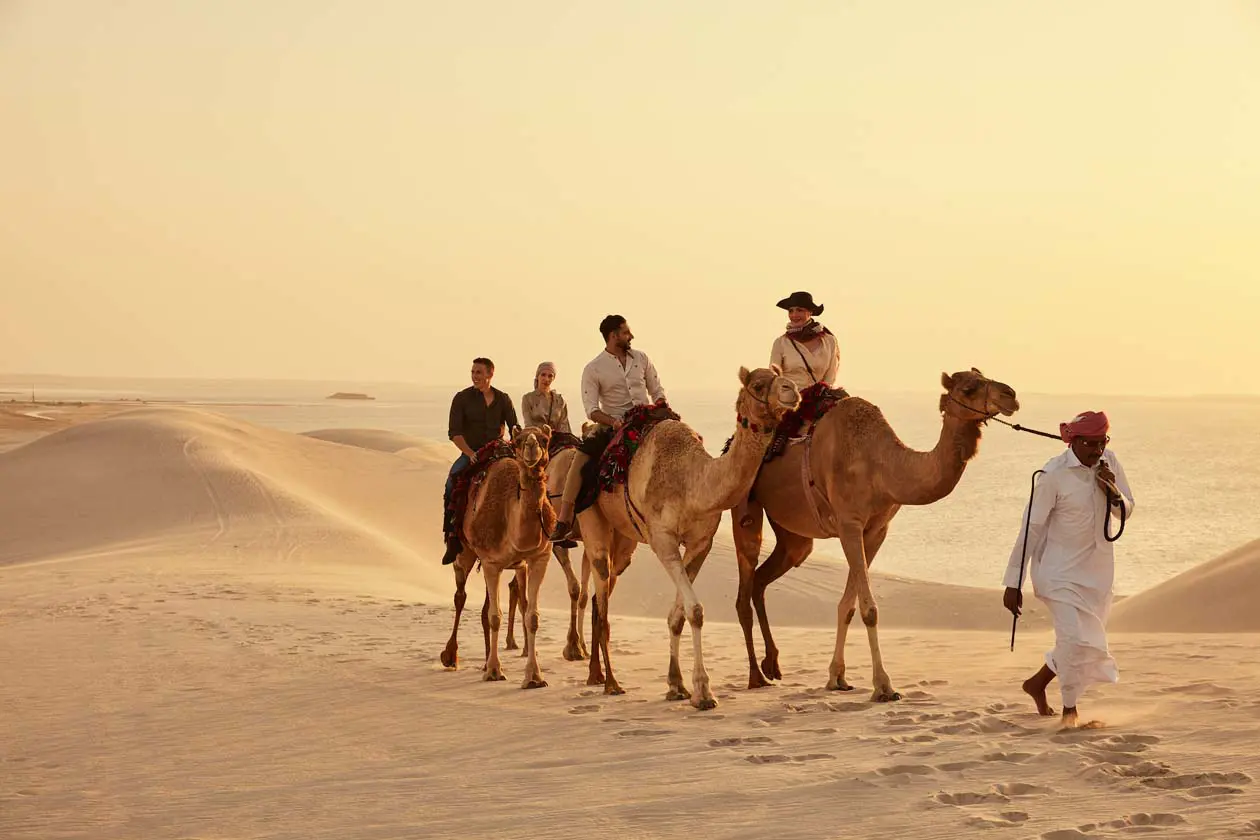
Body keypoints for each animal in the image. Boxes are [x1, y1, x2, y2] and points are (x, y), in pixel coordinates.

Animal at [441, 428, 554, 690]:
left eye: (545, 440)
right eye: (519, 440)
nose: (531, 447)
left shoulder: (538, 559)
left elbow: (532, 616)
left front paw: (534, 676)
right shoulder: (492, 562)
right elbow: (495, 617)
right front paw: (494, 671)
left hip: (511, 566)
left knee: (491, 605)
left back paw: (484, 660)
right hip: (464, 553)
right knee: (460, 596)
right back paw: (451, 656)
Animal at [579, 367, 796, 710]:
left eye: (781, 375)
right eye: (759, 384)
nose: (793, 389)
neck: (692, 481)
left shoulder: (700, 542)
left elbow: (679, 615)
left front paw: (677, 684)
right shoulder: (663, 539)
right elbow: (695, 610)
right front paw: (703, 691)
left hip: (623, 540)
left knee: (604, 593)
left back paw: (597, 675)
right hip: (593, 523)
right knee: (601, 598)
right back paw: (611, 682)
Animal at [735, 367, 1018, 705]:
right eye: (969, 388)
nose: (1010, 395)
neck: (881, 466)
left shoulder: (876, 530)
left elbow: (848, 605)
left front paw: (837, 678)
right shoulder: (849, 524)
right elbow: (869, 609)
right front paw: (883, 686)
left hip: (794, 537)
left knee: (762, 579)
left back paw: (772, 665)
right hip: (744, 507)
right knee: (743, 589)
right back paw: (754, 677)